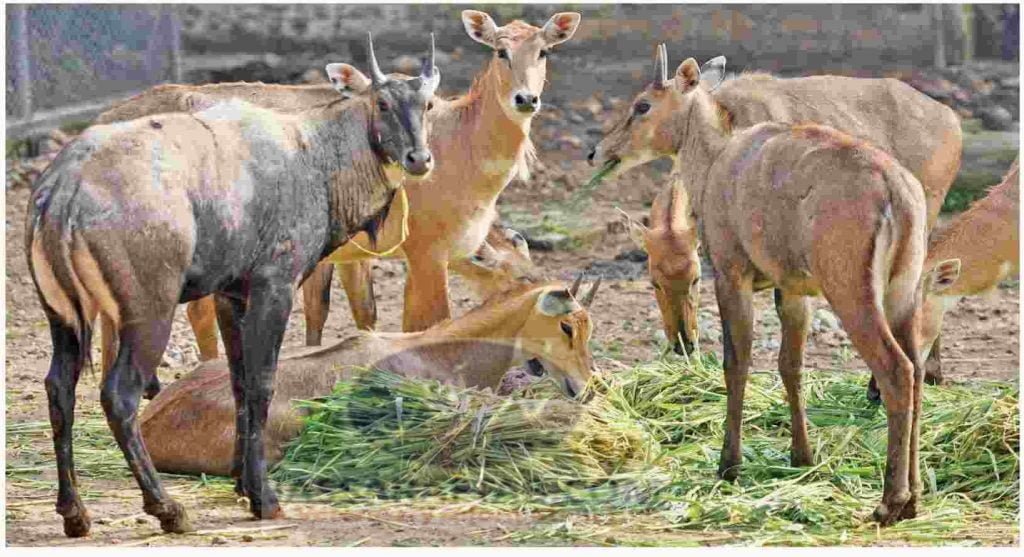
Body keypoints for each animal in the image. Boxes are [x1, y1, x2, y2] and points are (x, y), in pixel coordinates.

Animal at [26, 34, 439, 537]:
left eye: (429, 103)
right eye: (382, 102)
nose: (419, 159)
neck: (316, 157)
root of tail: (62, 189)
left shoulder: (230, 292)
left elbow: (239, 380)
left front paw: (242, 484)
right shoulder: (274, 284)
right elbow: (262, 383)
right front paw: (264, 498)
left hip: (62, 316)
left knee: (58, 389)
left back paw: (75, 514)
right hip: (149, 312)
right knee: (119, 394)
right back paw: (168, 510)